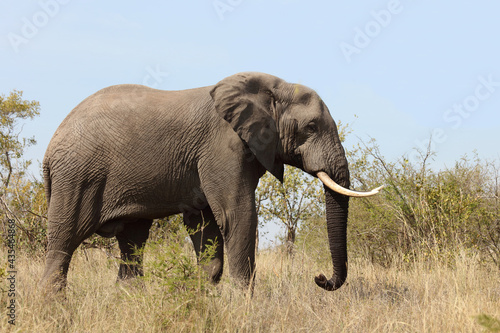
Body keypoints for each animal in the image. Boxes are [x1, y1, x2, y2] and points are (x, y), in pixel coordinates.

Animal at [41, 72, 380, 290]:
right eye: (310, 127)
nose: (320, 279)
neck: (269, 87)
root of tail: (51, 145)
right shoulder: (222, 148)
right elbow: (237, 216)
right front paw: (245, 308)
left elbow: (205, 226)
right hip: (77, 176)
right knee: (62, 243)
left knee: (132, 245)